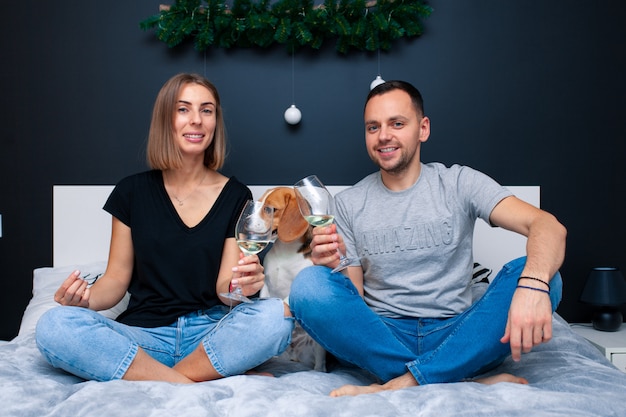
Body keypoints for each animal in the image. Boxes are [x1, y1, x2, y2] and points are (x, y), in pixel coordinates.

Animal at [258, 187, 326, 368]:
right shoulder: (266, 285)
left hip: (318, 346)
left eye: (270, 209)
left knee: (320, 363)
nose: (246, 219)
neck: (285, 249)